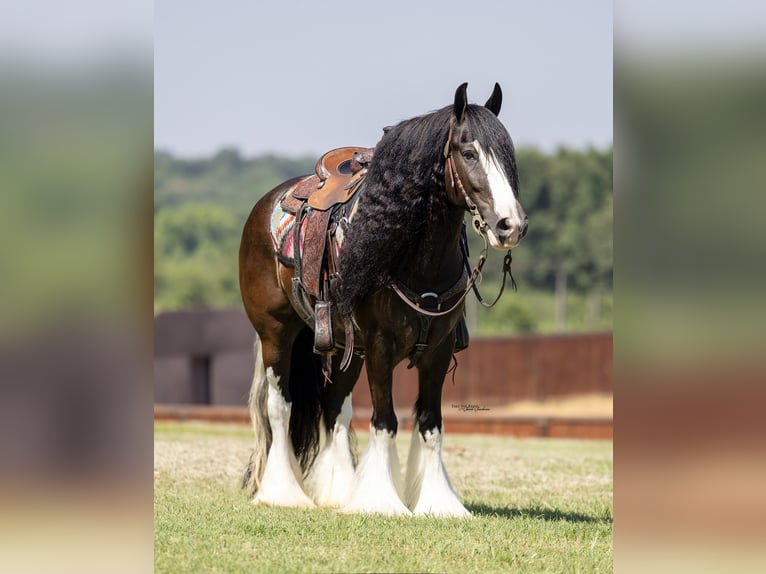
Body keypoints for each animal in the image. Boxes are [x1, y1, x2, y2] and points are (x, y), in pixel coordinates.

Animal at [240, 83, 528, 520]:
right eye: (468, 152)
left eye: (507, 154)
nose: (510, 225)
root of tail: (265, 205)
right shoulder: (380, 346)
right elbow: (384, 420)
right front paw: (382, 502)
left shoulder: (438, 350)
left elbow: (430, 424)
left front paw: (437, 502)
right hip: (276, 334)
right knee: (280, 405)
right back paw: (283, 492)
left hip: (345, 349)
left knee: (335, 410)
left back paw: (340, 493)